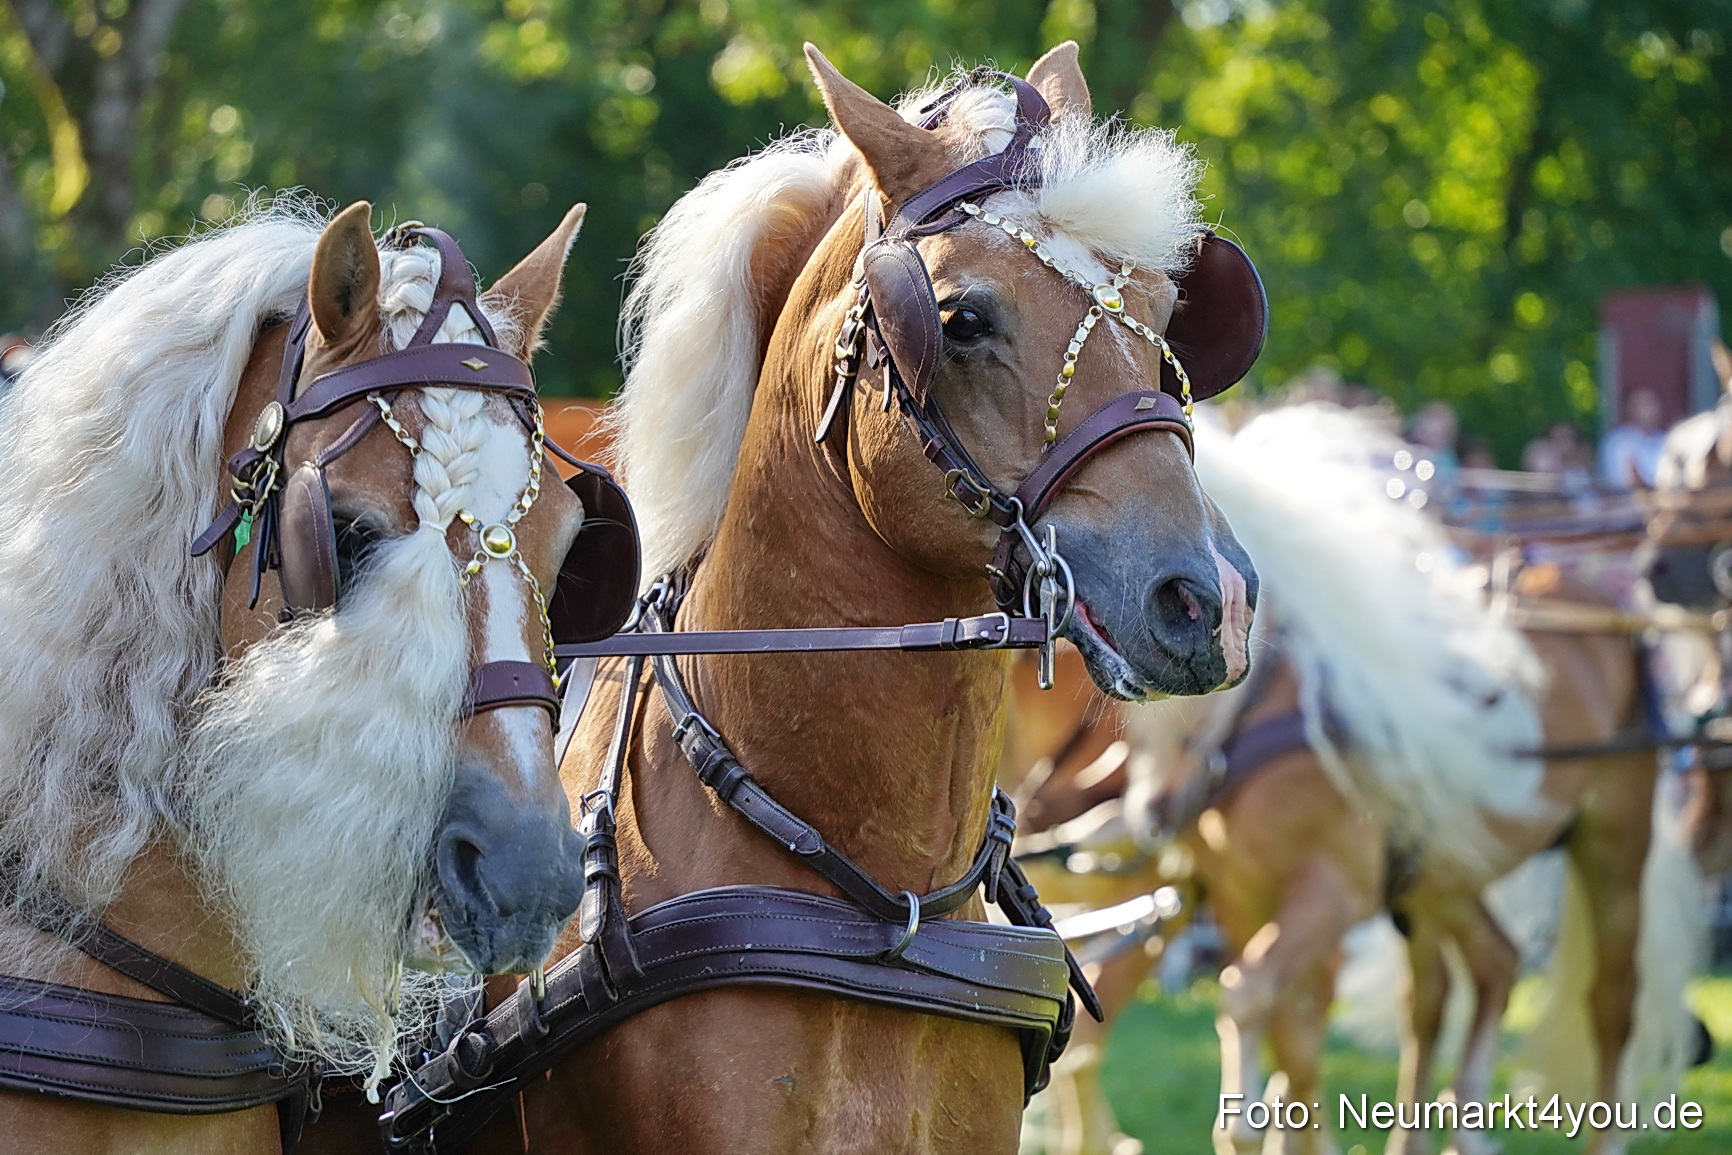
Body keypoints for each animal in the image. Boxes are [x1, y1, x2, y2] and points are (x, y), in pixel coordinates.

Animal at [1011, 405, 1696, 1155]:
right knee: (1477, 972)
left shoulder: (1332, 887)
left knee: (1610, 998)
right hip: (1441, 872)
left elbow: (1252, 1003)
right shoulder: (1236, 895)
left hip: (1613, 843)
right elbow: (1287, 1033)